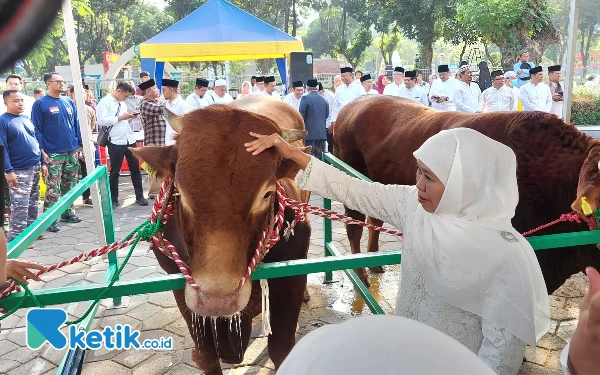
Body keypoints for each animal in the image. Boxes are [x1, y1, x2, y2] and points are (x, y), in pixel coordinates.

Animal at [129, 100, 312, 375]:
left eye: (267, 194)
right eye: (180, 191)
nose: (217, 300)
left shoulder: (292, 277)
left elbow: (281, 349)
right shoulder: (180, 285)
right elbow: (206, 354)